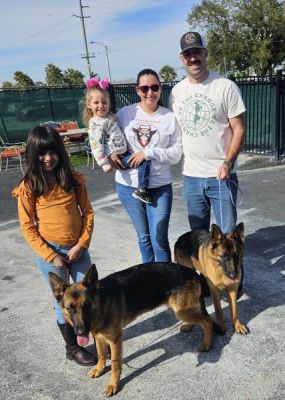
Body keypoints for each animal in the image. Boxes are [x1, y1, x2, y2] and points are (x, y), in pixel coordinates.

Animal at [49, 260, 217, 396]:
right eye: (70, 308)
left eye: (87, 305)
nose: (81, 332)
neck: (102, 303)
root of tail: (191, 271)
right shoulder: (99, 337)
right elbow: (102, 355)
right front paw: (99, 369)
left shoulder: (115, 340)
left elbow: (115, 364)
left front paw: (113, 385)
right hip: (182, 310)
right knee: (201, 319)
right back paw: (189, 327)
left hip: (183, 311)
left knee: (207, 320)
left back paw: (206, 343)